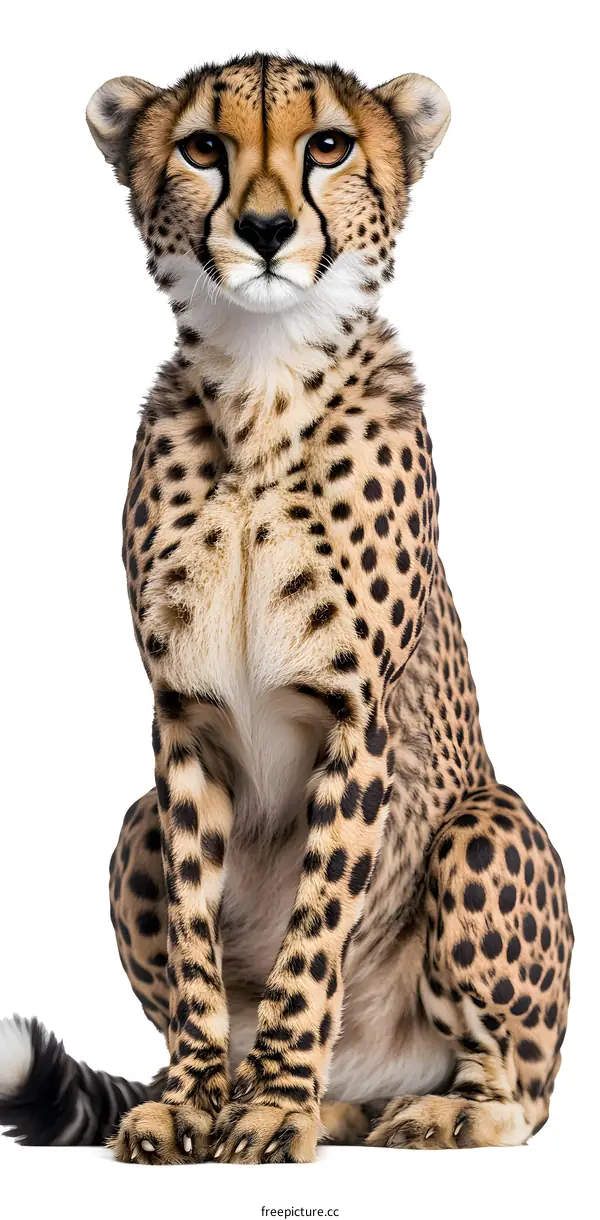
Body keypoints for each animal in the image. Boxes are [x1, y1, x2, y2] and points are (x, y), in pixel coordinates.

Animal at [0, 53, 572, 1164]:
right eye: (202, 148)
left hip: (486, 820)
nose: (265, 229)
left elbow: (314, 940)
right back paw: (309, 1102)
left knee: (526, 1090)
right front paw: (192, 1102)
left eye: (330, 145)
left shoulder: (355, 723)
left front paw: (270, 1109)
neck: (261, 388)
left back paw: (436, 1109)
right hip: (131, 824)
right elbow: (194, 934)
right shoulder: (180, 729)